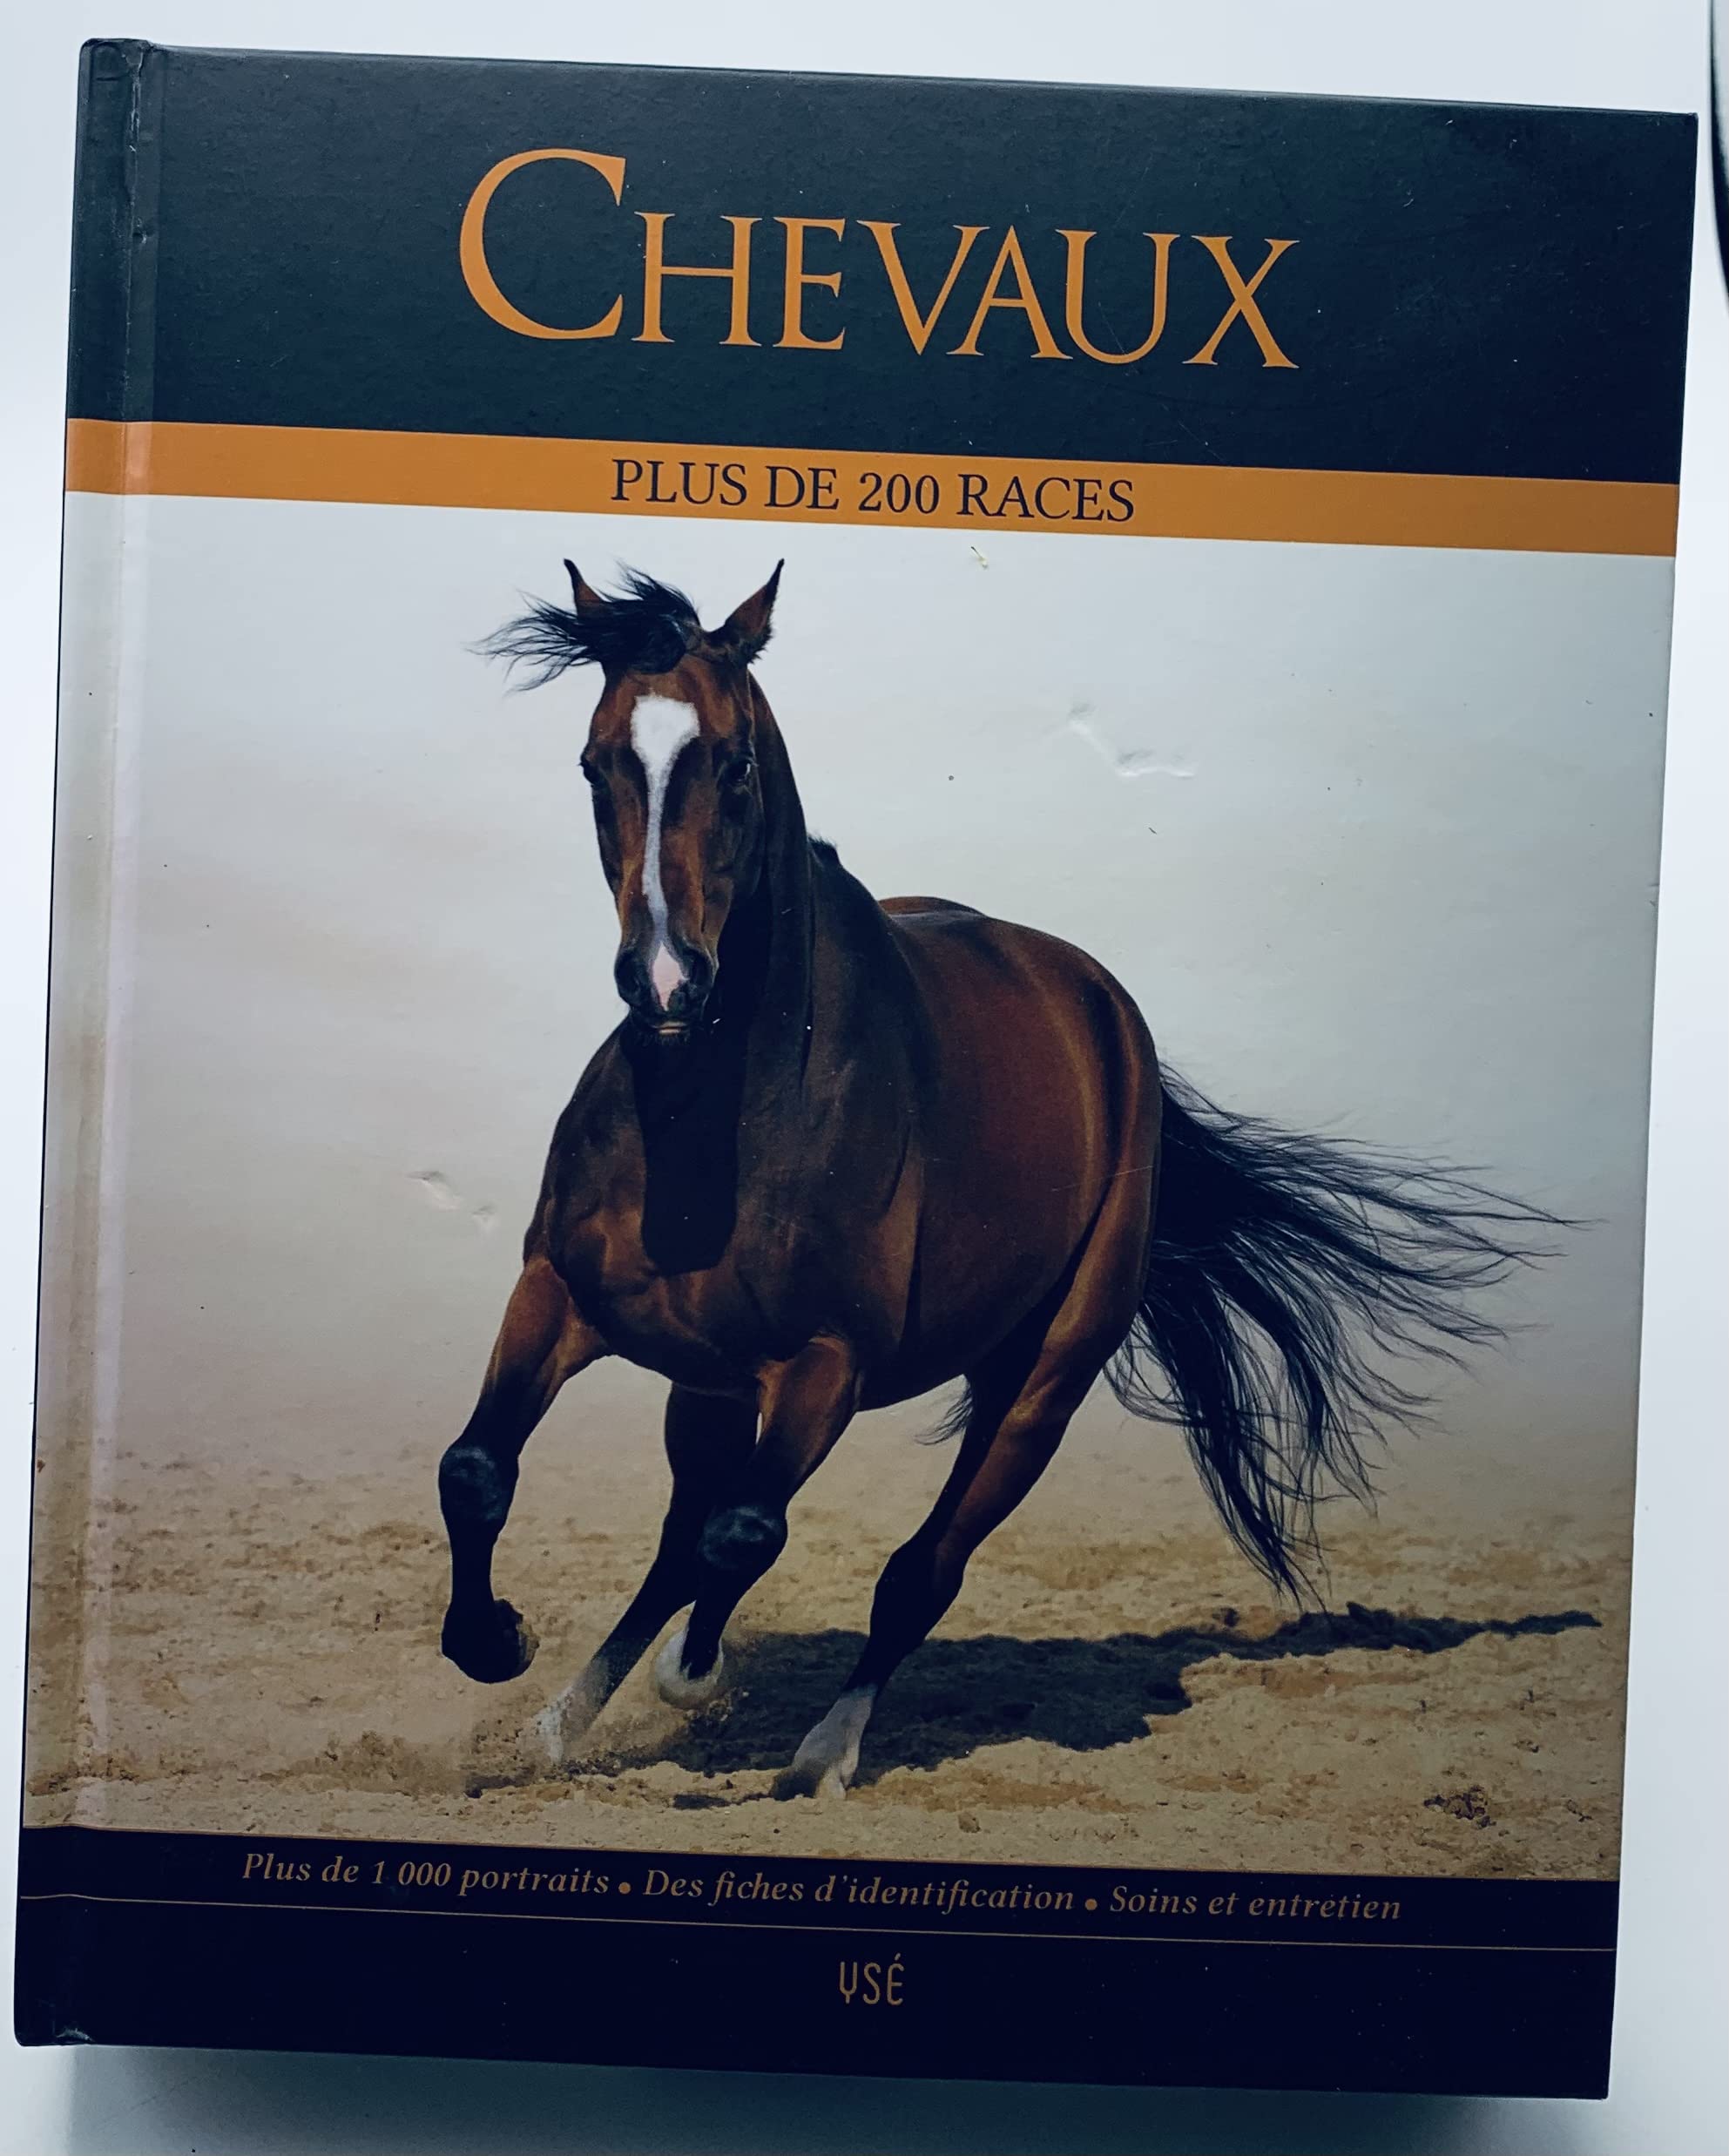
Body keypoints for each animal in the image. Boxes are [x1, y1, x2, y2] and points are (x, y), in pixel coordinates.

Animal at [436, 561, 1553, 1798]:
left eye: (731, 763)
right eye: (597, 762)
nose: (668, 980)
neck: (714, 1126)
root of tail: (1103, 1012)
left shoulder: (825, 1365)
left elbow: (748, 1536)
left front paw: (699, 1679)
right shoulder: (560, 1293)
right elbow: (477, 1469)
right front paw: (497, 1647)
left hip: (1037, 1384)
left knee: (911, 1571)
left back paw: (820, 1757)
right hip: (711, 1381)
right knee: (687, 1537)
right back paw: (557, 1731)